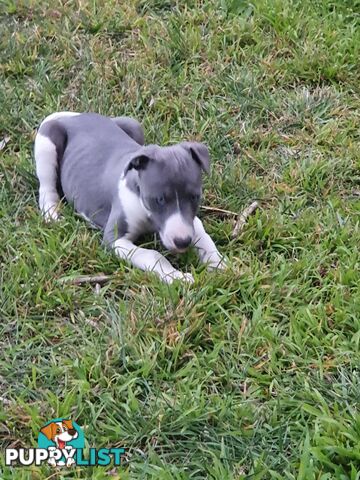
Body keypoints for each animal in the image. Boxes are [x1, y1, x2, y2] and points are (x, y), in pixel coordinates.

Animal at [34, 111, 225, 284]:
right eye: (159, 199)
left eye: (195, 197)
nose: (183, 242)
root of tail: (72, 117)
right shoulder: (114, 239)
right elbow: (152, 255)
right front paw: (177, 277)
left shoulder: (191, 222)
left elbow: (204, 237)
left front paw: (219, 264)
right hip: (46, 145)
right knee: (46, 188)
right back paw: (52, 215)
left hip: (133, 124)